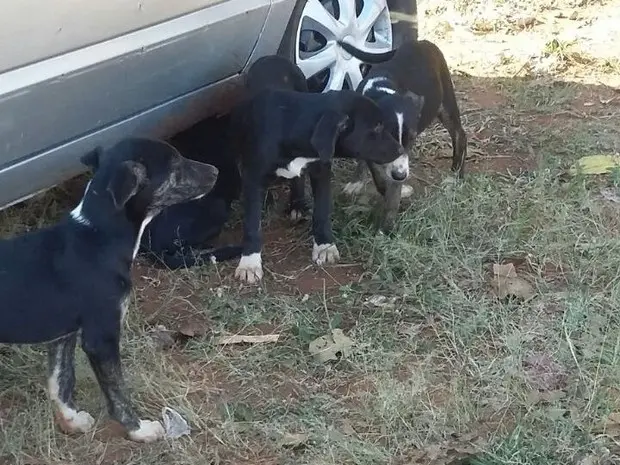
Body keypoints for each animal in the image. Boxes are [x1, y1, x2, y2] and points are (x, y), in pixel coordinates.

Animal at [0, 139, 219, 442]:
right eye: (176, 164)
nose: (216, 171)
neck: (99, 237)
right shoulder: (101, 337)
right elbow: (117, 391)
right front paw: (138, 429)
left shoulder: (63, 335)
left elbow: (60, 380)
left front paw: (71, 421)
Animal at [230, 62, 404, 282]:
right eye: (377, 128)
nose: (400, 150)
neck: (291, 122)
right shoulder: (253, 177)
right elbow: (252, 223)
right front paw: (250, 262)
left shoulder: (321, 170)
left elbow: (321, 211)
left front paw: (325, 246)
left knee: (297, 179)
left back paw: (297, 204)